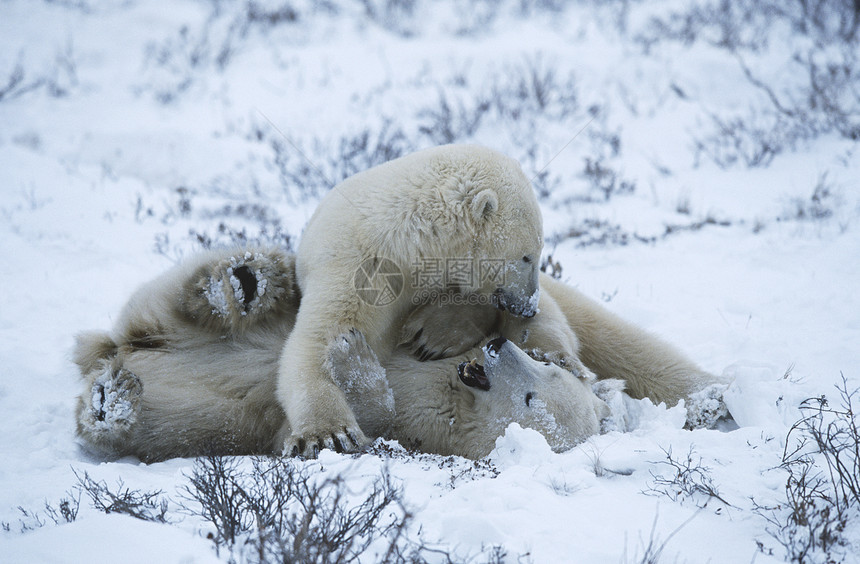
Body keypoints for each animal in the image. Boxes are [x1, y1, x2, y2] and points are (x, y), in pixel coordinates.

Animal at [282, 143, 552, 456]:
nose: (529, 308)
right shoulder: (358, 269)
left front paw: (431, 336)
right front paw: (329, 433)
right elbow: (323, 337)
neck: (408, 243)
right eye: (527, 256)